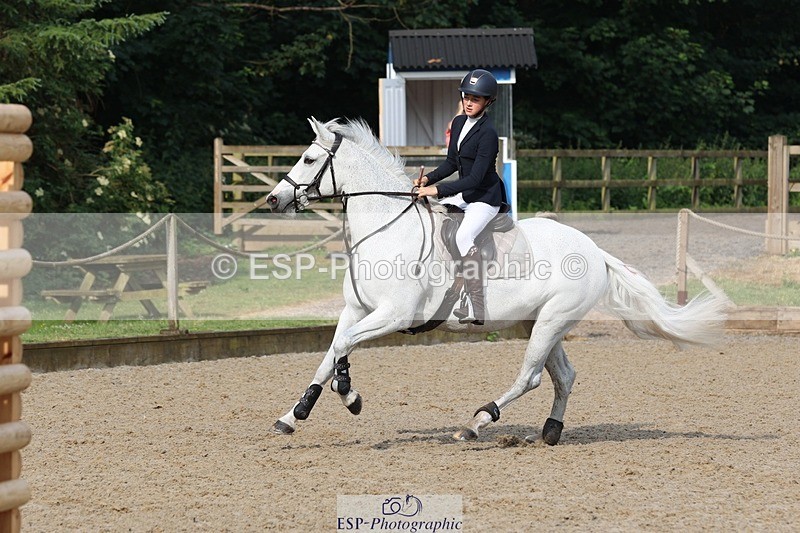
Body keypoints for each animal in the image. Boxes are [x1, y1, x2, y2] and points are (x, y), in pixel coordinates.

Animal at [264, 117, 726, 444]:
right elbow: (330, 353)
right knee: (563, 376)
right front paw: (293, 415)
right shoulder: (356, 310)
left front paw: (350, 397)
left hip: (551, 321)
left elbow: (343, 347)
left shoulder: (394, 315)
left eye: (308, 159)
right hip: (542, 322)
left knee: (531, 377)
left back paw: (477, 423)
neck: (387, 228)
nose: (273, 199)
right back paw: (550, 432)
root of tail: (595, 250)